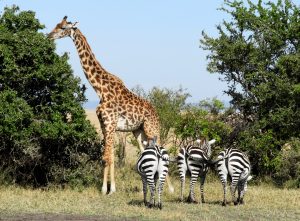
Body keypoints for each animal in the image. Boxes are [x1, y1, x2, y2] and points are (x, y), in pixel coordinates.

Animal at [47, 16, 173, 194]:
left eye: (63, 27)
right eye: (56, 25)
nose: (49, 36)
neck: (100, 89)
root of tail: (156, 113)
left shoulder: (111, 124)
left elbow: (107, 157)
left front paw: (107, 189)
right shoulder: (105, 125)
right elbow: (108, 156)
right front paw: (109, 187)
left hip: (151, 129)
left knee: (161, 151)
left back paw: (169, 189)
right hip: (138, 132)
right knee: (147, 154)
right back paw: (148, 188)